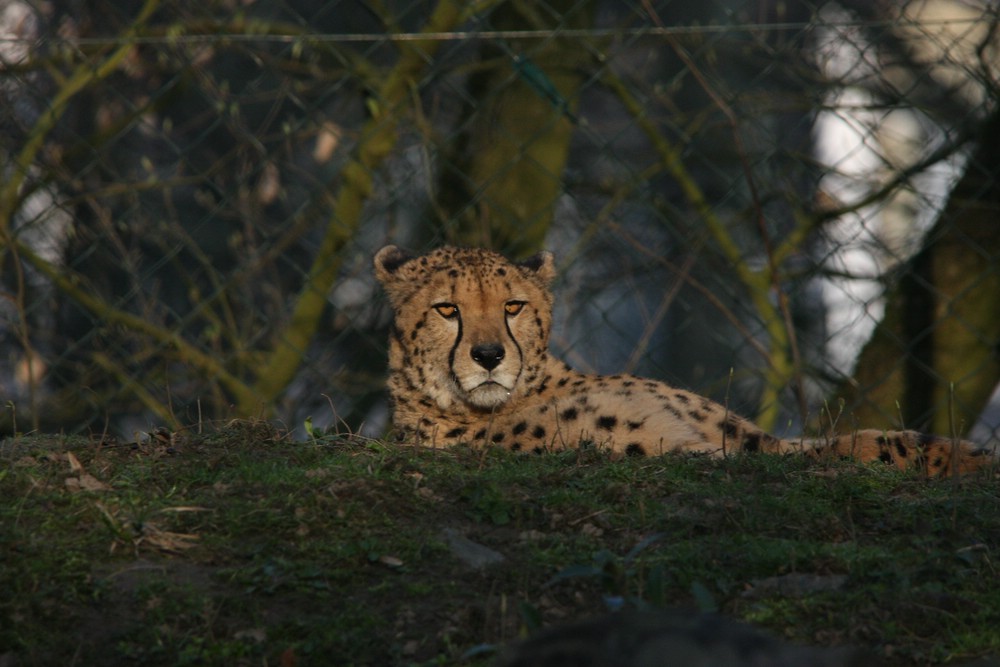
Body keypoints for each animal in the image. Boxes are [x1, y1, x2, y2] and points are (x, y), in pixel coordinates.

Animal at [374, 245, 992, 474]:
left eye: (512, 306)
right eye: (447, 309)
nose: (487, 355)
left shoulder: (749, 441)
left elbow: (857, 440)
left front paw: (964, 455)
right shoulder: (688, 453)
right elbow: (830, 454)